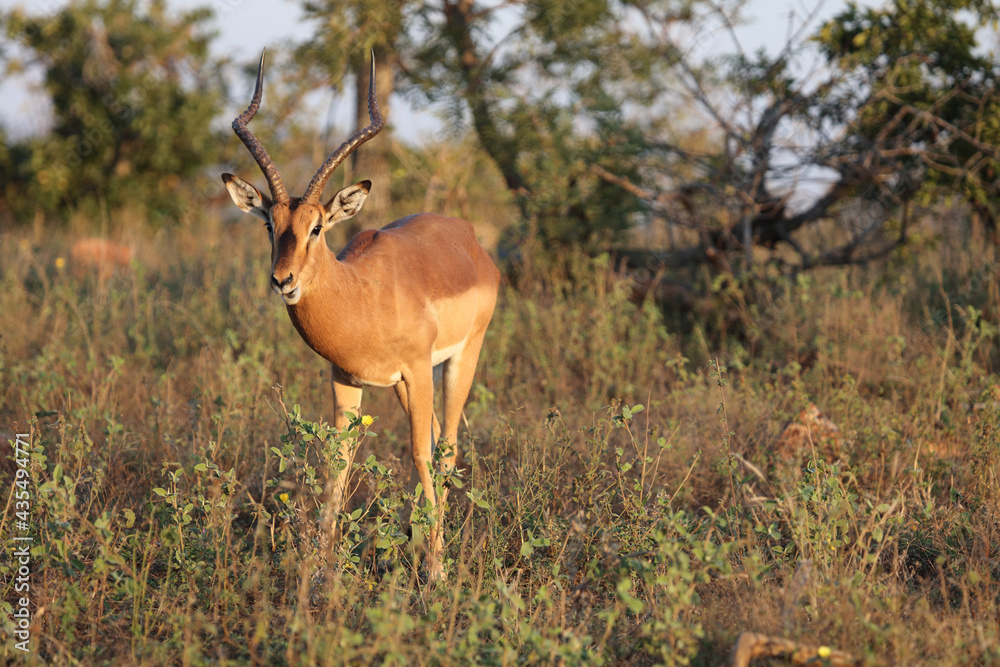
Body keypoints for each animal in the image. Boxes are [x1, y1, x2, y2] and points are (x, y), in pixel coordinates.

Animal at [221, 51, 500, 581]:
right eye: (270, 224)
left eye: (316, 227)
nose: (283, 280)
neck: (361, 294)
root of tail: (470, 237)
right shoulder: (346, 378)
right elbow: (338, 461)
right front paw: (320, 568)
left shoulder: (417, 369)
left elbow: (421, 453)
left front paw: (436, 571)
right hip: (400, 387)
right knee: (438, 437)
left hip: (461, 360)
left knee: (447, 444)